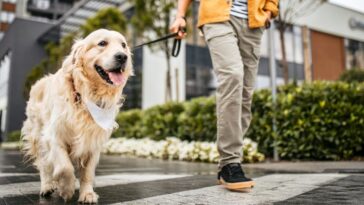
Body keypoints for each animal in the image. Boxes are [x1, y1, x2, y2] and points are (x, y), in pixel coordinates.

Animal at [20, 28, 133, 203]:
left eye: (123, 45)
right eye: (102, 43)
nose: (122, 56)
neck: (85, 95)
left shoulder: (93, 141)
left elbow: (87, 173)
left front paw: (87, 194)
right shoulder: (53, 135)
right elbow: (64, 166)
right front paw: (66, 188)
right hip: (37, 136)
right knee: (44, 165)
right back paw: (47, 186)